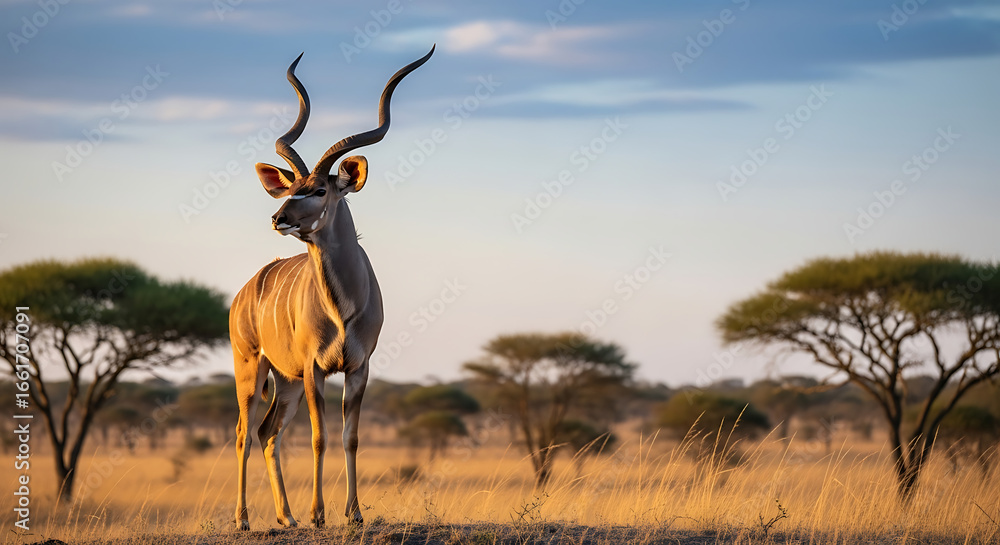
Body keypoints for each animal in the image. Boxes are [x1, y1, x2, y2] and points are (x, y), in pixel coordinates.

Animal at [231, 46, 433, 529]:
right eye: (294, 188)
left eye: (320, 189)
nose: (279, 217)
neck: (344, 309)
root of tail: (244, 292)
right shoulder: (314, 370)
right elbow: (320, 438)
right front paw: (319, 514)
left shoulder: (358, 368)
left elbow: (350, 437)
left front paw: (353, 513)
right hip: (252, 368)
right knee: (244, 432)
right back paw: (244, 518)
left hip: (283, 380)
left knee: (267, 432)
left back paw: (286, 518)